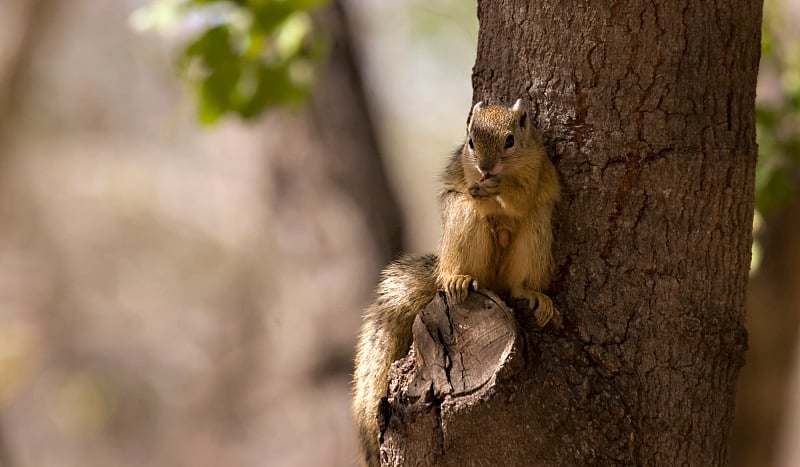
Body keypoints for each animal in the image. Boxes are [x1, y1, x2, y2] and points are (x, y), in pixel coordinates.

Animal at [350, 97, 564, 466]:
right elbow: (467, 186)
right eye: (472, 142)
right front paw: (482, 187)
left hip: (537, 232)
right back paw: (457, 279)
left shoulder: (536, 169)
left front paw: (499, 189)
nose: (486, 169)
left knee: (521, 271)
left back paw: (532, 294)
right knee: (466, 234)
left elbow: (521, 198)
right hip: (463, 223)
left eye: (511, 140)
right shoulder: (465, 171)